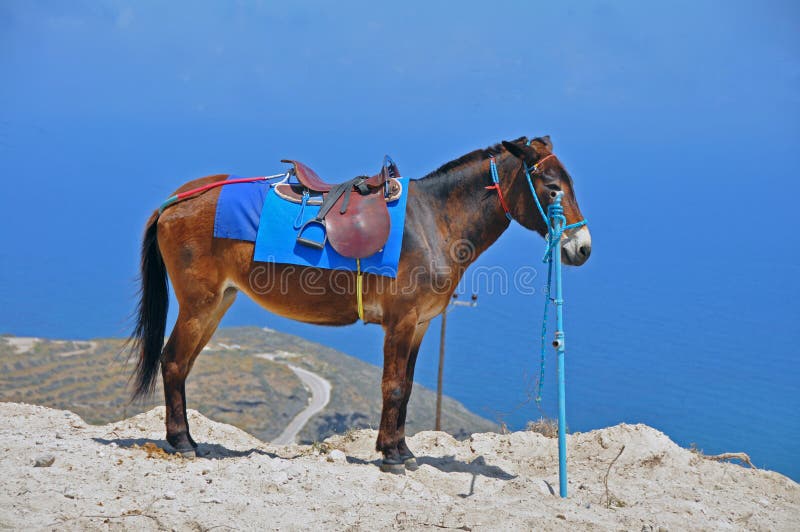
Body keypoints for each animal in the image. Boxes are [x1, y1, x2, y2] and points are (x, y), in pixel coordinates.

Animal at [128, 137, 592, 474]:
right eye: (552, 189)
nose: (583, 248)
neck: (433, 222)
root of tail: (177, 199)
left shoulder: (420, 324)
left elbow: (406, 388)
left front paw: (401, 450)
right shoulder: (401, 321)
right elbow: (394, 386)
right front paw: (390, 456)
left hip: (218, 302)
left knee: (182, 363)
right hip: (199, 304)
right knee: (173, 362)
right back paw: (182, 441)